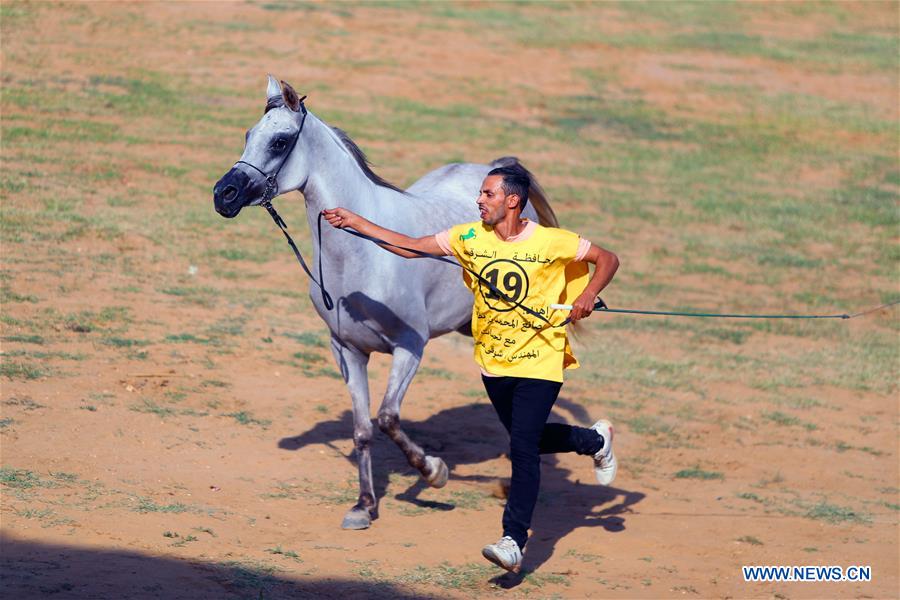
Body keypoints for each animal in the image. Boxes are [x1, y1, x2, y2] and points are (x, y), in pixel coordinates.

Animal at [213, 76, 560, 530]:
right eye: (248, 135)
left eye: (280, 141)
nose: (223, 194)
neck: (361, 258)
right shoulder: (347, 350)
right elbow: (363, 429)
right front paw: (364, 506)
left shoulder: (410, 347)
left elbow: (388, 417)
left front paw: (434, 472)